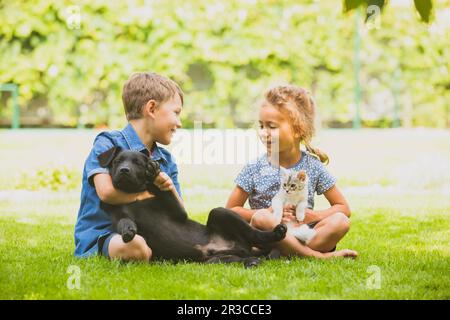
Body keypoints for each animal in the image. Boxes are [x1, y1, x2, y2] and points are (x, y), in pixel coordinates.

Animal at [98, 146, 288, 266]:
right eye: (117, 162)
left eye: (137, 163)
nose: (124, 170)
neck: (134, 196)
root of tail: (243, 249)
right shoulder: (117, 214)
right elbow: (123, 221)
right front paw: (128, 230)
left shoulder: (178, 212)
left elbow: (164, 191)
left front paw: (154, 175)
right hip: (216, 261)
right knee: (242, 259)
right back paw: (252, 262)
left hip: (220, 213)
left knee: (255, 234)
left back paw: (275, 233)